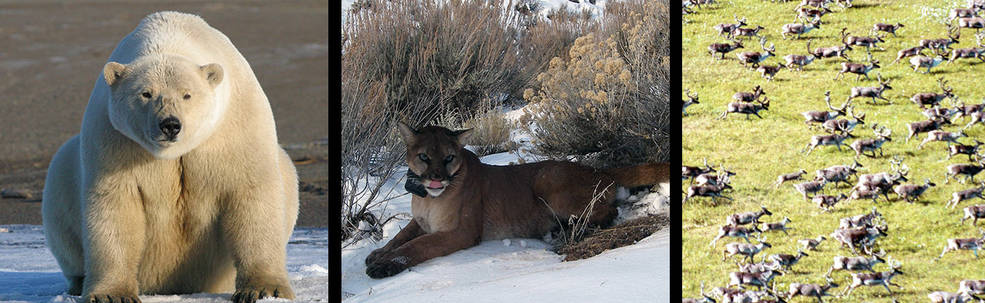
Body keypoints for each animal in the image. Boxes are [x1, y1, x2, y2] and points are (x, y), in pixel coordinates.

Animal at [43, 10, 296, 302]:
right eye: (145, 93)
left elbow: (251, 192)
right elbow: (116, 205)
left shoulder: (236, 126)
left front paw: (265, 289)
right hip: (66, 180)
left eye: (187, 94)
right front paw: (113, 294)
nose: (170, 125)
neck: (171, 37)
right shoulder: (116, 139)